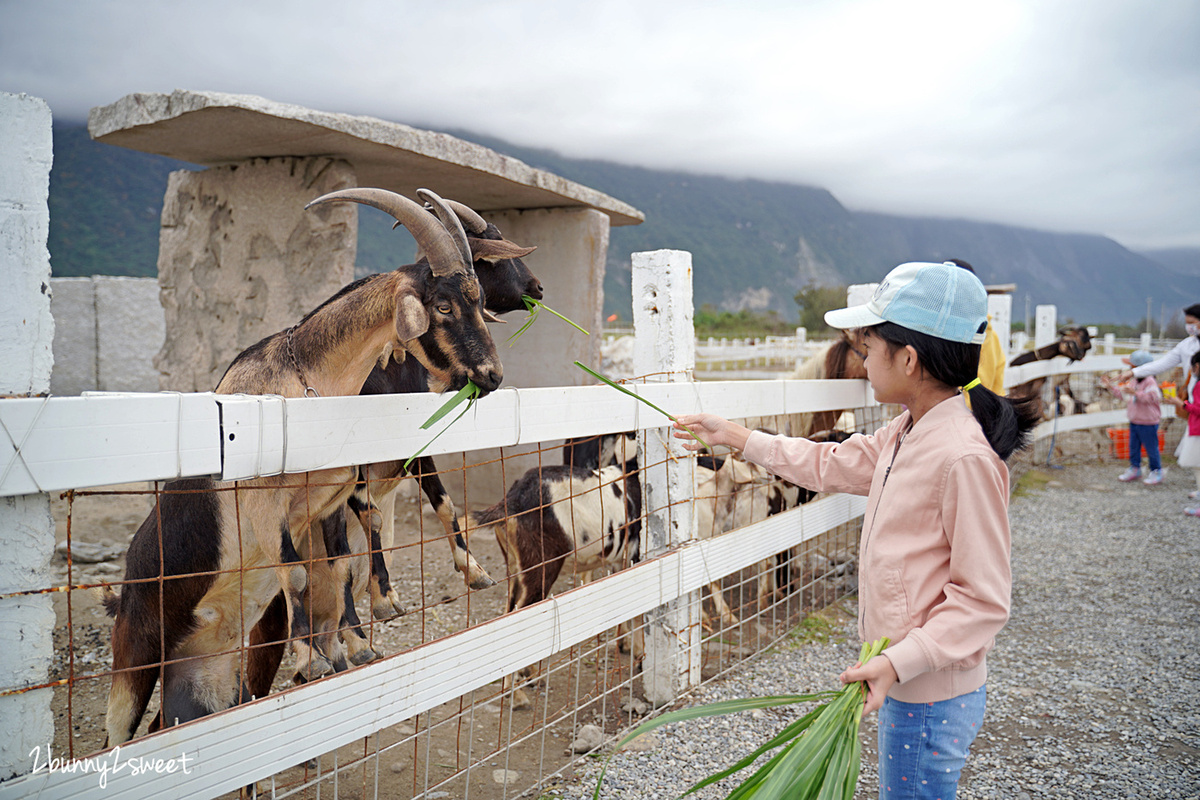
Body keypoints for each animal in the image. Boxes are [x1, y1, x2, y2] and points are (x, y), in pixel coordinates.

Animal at [97, 189, 501, 753]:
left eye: (480, 301)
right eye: (443, 305)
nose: (492, 376)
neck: (309, 388)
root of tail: (125, 591)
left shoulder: (328, 501)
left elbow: (338, 566)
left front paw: (348, 648)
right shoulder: (266, 504)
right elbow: (297, 572)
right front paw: (312, 661)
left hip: (204, 679)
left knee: (169, 723)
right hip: (133, 663)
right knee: (118, 731)